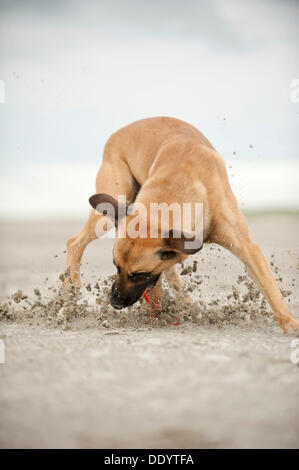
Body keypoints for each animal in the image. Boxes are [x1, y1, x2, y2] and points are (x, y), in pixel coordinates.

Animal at [66, 115, 299, 332]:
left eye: (140, 274)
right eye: (115, 266)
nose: (114, 302)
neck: (182, 178)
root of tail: (117, 133)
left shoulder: (247, 247)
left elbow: (269, 287)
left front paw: (289, 322)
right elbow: (157, 284)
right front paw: (152, 312)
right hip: (112, 203)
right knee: (74, 242)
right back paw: (71, 288)